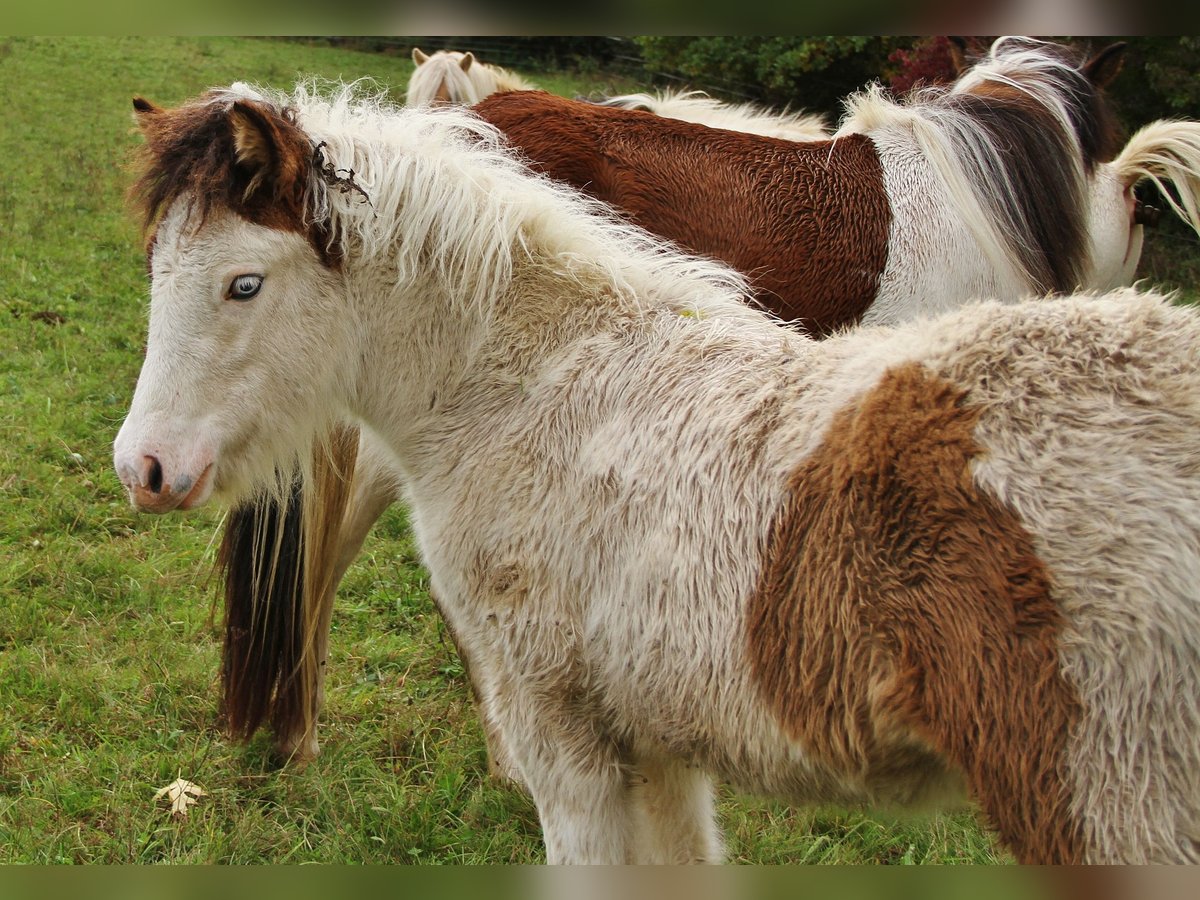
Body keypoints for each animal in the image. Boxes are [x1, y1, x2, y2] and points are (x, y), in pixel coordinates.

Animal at [115, 77, 1200, 865]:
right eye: (154, 266)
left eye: (243, 284)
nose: (145, 466)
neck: (553, 381)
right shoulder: (657, 747)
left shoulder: (577, 742)